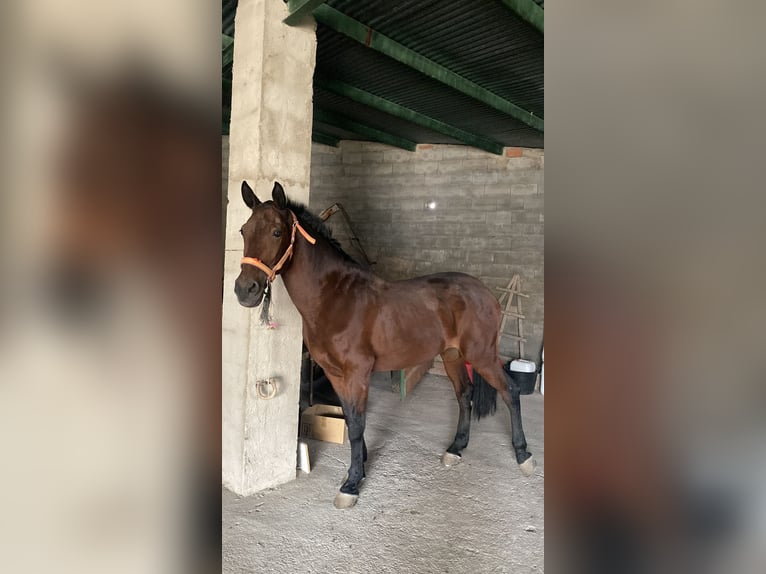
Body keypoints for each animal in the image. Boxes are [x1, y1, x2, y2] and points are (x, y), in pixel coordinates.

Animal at [235, 180, 536, 509]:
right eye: (243, 230)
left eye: (277, 232)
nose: (244, 290)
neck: (335, 298)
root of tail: (485, 293)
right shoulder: (336, 374)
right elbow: (351, 417)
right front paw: (360, 466)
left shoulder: (357, 373)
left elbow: (357, 424)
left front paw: (351, 484)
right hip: (452, 355)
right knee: (464, 394)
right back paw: (455, 448)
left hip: (481, 355)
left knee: (511, 392)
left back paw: (523, 456)